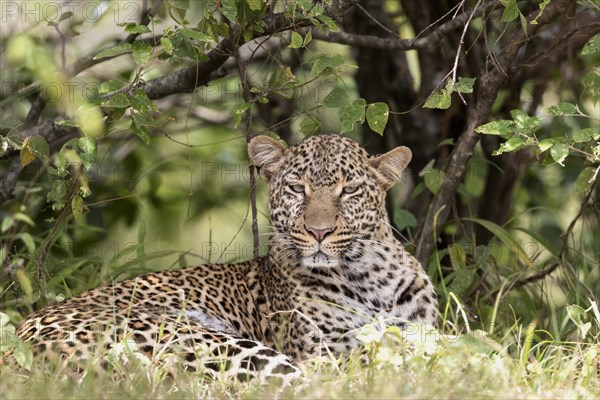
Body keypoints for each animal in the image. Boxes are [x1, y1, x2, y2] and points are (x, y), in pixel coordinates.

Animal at [12, 134, 436, 382]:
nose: (319, 232)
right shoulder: (326, 352)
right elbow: (386, 356)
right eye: (297, 189)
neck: (369, 276)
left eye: (348, 191)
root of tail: (17, 350)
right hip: (203, 339)